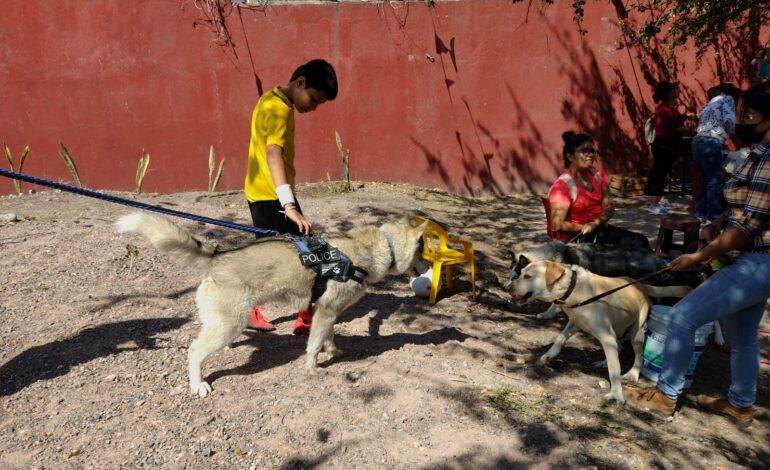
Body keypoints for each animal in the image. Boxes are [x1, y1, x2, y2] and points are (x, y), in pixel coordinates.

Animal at [115, 213, 426, 396]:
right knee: (194, 351)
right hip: (228, 325)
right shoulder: (325, 312)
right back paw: (197, 384)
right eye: (424, 252)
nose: (427, 272)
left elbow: (328, 338)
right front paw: (313, 369)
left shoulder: (328, 312)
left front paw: (334, 351)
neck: (379, 247)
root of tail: (216, 256)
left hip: (223, 322)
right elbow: (313, 346)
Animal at [510, 260, 688, 404]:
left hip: (636, 333)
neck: (574, 289)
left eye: (527, 276)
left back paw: (632, 374)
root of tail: (641, 285)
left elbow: (614, 371)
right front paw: (550, 354)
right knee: (619, 347)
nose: (506, 287)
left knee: (639, 355)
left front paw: (616, 394)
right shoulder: (576, 323)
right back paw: (604, 361)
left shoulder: (606, 336)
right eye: (521, 273)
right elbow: (560, 338)